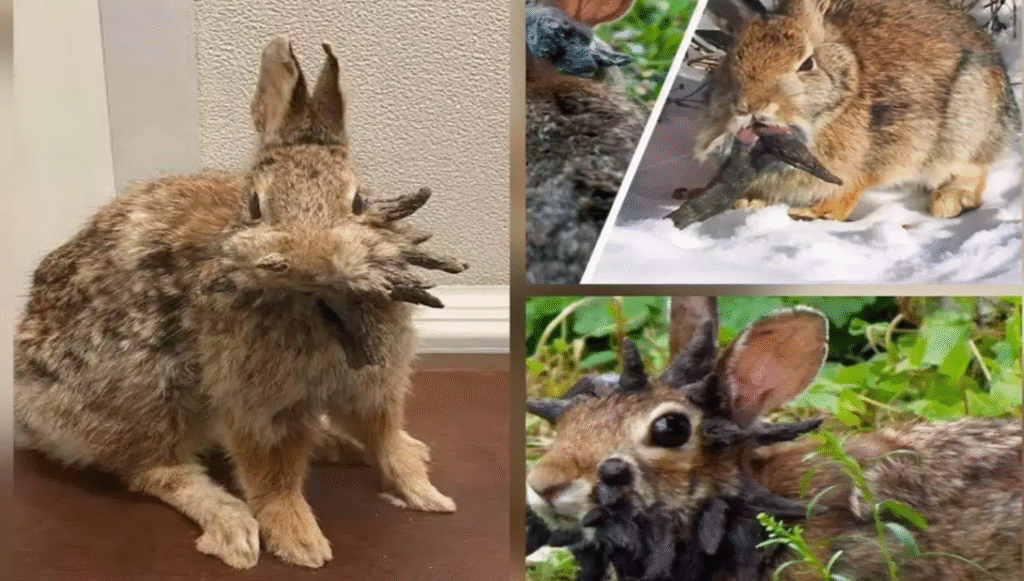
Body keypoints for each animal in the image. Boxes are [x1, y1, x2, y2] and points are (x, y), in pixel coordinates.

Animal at [14, 35, 468, 570]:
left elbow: (386, 438)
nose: (312, 260)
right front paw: (301, 543)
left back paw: (345, 446)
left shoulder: (374, 386)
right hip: (148, 397)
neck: (317, 304)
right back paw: (231, 526)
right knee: (153, 469)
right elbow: (271, 475)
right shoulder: (255, 404)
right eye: (254, 207)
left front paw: (426, 493)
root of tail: (32, 416)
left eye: (358, 203)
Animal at [694, 0, 1021, 221]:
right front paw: (748, 203)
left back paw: (950, 202)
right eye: (733, 59)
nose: (750, 105)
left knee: (973, 167)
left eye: (807, 64)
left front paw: (817, 213)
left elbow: (849, 189)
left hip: (964, 124)